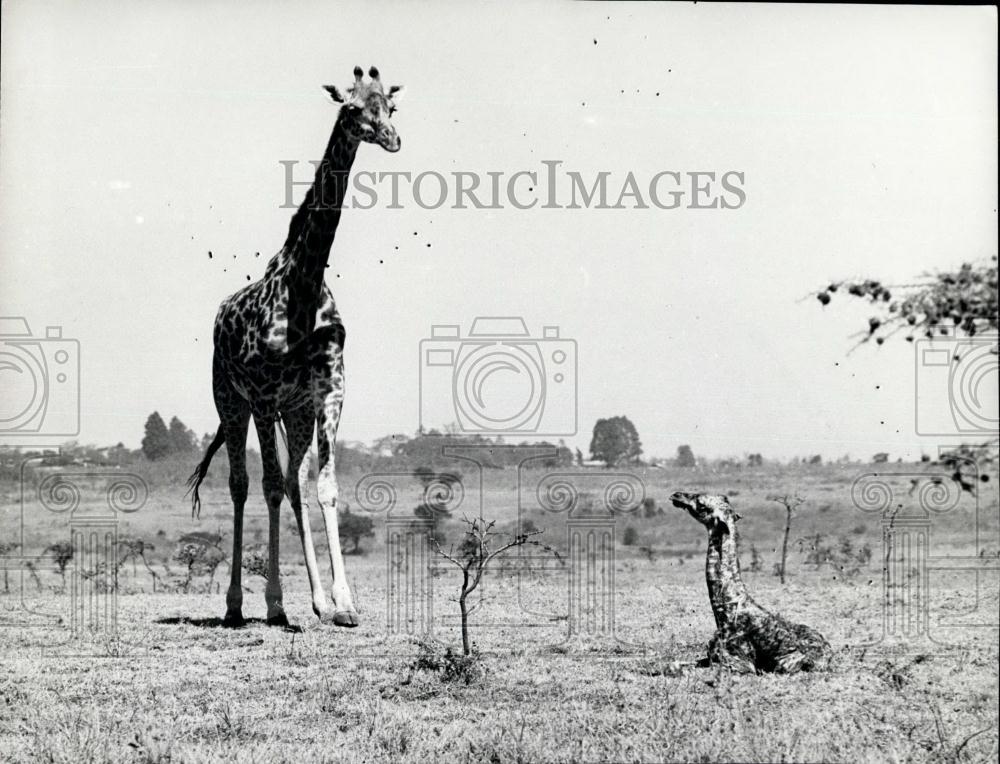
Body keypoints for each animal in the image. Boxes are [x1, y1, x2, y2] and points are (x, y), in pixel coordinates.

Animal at [188, 65, 402, 628]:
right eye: (351, 107)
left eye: (390, 106)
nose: (391, 139)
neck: (303, 289)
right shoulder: (264, 397)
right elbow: (264, 486)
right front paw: (276, 603)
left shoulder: (328, 395)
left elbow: (323, 487)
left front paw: (343, 603)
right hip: (232, 401)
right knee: (245, 484)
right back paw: (241, 605)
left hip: (296, 412)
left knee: (293, 484)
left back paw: (318, 602)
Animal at [672, 492, 836, 672]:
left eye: (701, 505)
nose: (676, 495)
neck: (725, 612)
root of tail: (829, 655)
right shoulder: (710, 657)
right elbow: (675, 663)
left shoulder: (740, 664)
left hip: (783, 664)